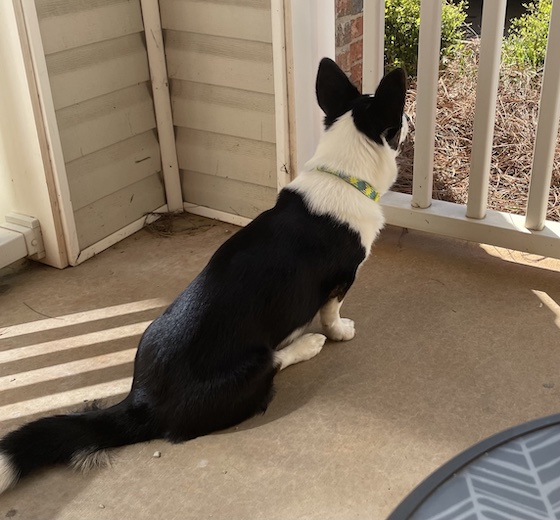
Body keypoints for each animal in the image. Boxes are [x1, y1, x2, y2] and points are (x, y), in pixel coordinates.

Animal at [0, 59, 404, 494]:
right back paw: (307, 344)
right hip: (254, 365)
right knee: (276, 360)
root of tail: (142, 403)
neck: (343, 172)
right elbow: (332, 314)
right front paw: (340, 332)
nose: (411, 120)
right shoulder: (341, 280)